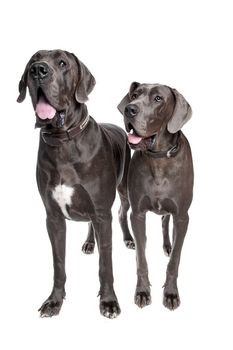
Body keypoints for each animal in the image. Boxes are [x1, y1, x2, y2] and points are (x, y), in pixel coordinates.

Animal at [16, 50, 134, 320]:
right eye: (33, 60)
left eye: (62, 63)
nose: (38, 70)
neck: (63, 143)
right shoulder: (53, 217)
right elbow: (58, 263)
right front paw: (54, 301)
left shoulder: (102, 213)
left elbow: (106, 264)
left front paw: (109, 301)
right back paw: (91, 243)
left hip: (124, 190)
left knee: (122, 213)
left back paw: (128, 239)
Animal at [118, 83, 193, 310]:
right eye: (134, 95)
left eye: (158, 99)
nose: (129, 109)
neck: (159, 159)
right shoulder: (138, 214)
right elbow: (141, 258)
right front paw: (142, 291)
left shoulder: (182, 217)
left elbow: (175, 260)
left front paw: (171, 293)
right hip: (124, 193)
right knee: (121, 213)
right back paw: (128, 239)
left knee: (164, 220)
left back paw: (167, 245)